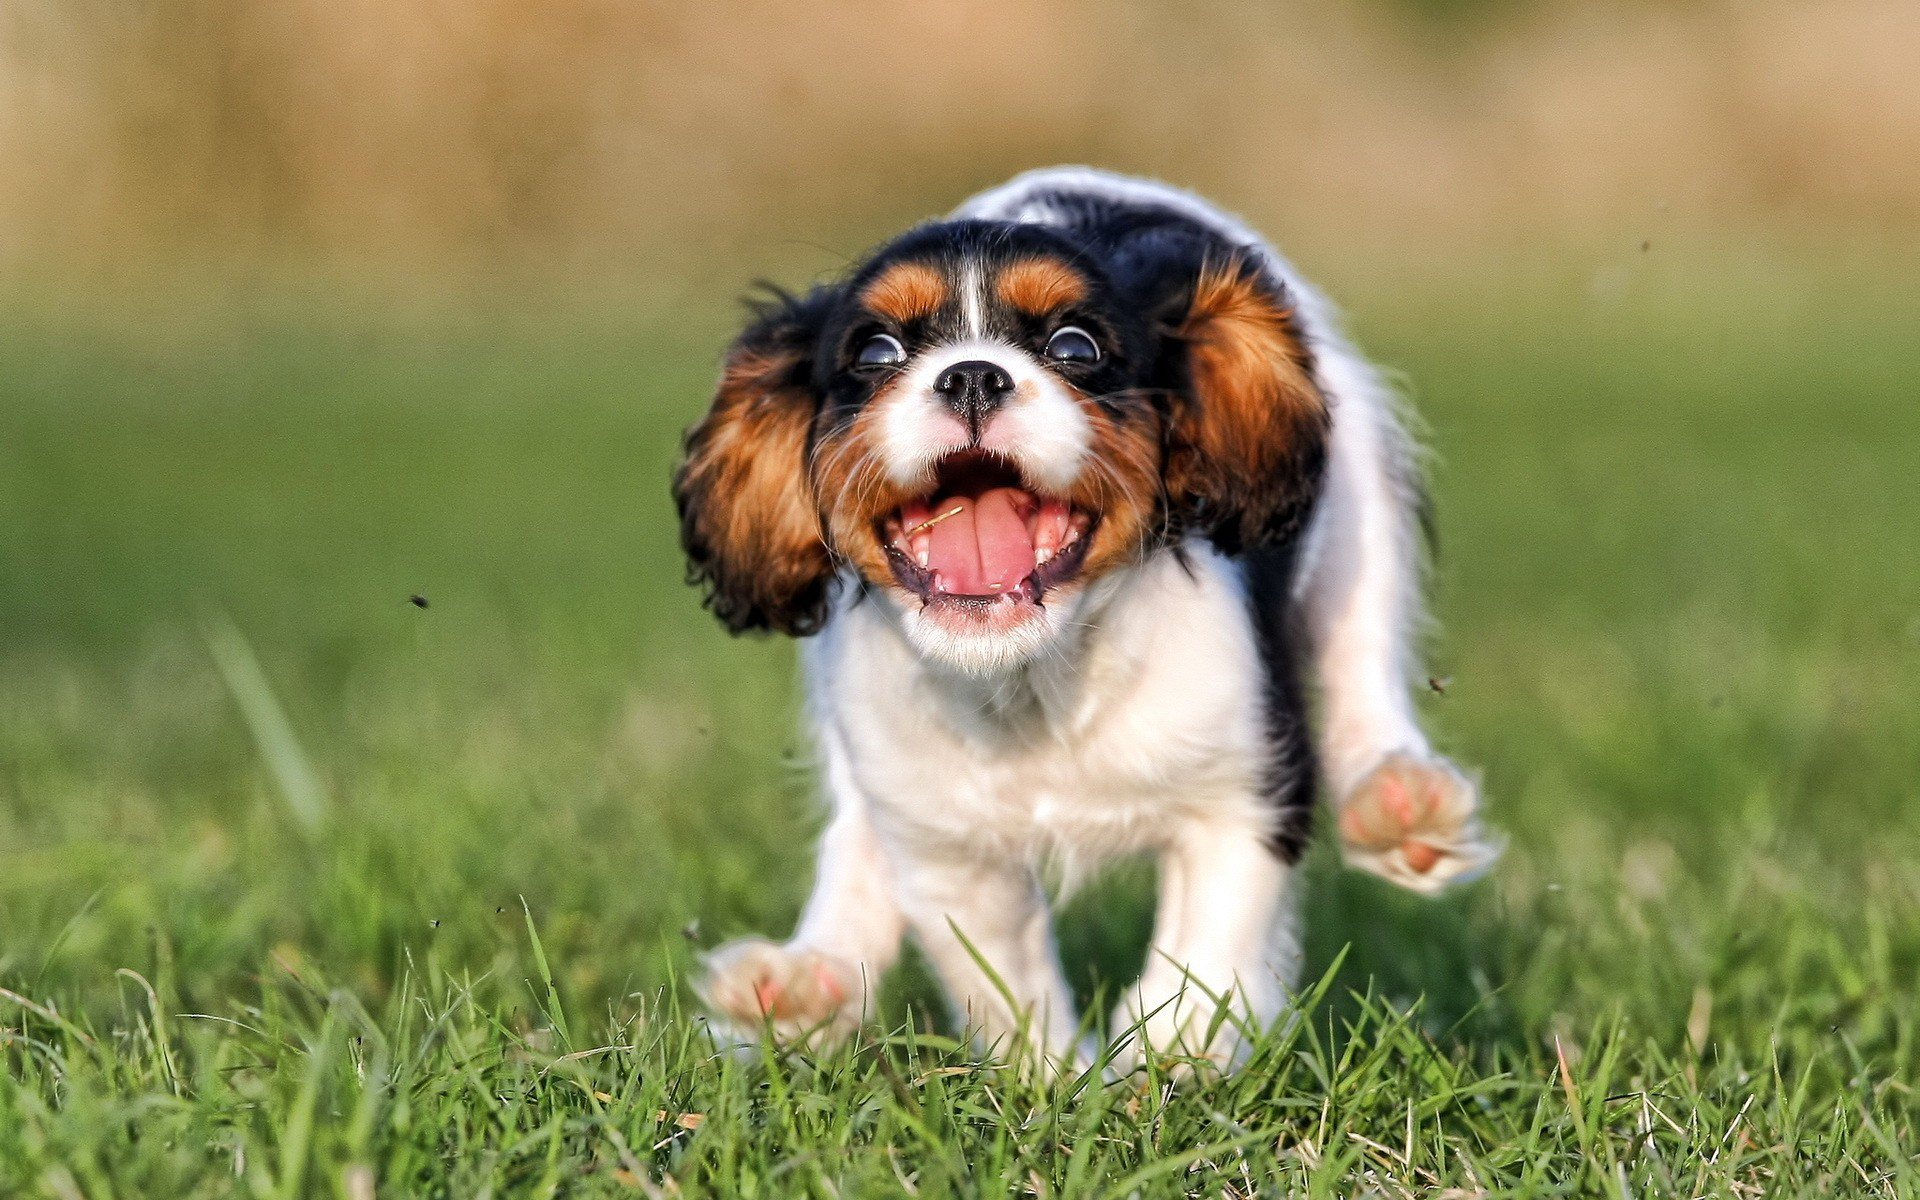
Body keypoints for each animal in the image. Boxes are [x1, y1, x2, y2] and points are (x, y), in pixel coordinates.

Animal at [672, 168, 1497, 1067]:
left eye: (1075, 347)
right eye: (875, 354)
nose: (971, 376)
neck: (1034, 677)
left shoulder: (1246, 794)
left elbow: (1209, 953)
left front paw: (1161, 1061)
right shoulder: (951, 852)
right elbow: (1003, 986)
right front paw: (1048, 1081)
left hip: (1360, 502)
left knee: (1363, 661)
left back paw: (1401, 802)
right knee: (856, 826)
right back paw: (804, 980)